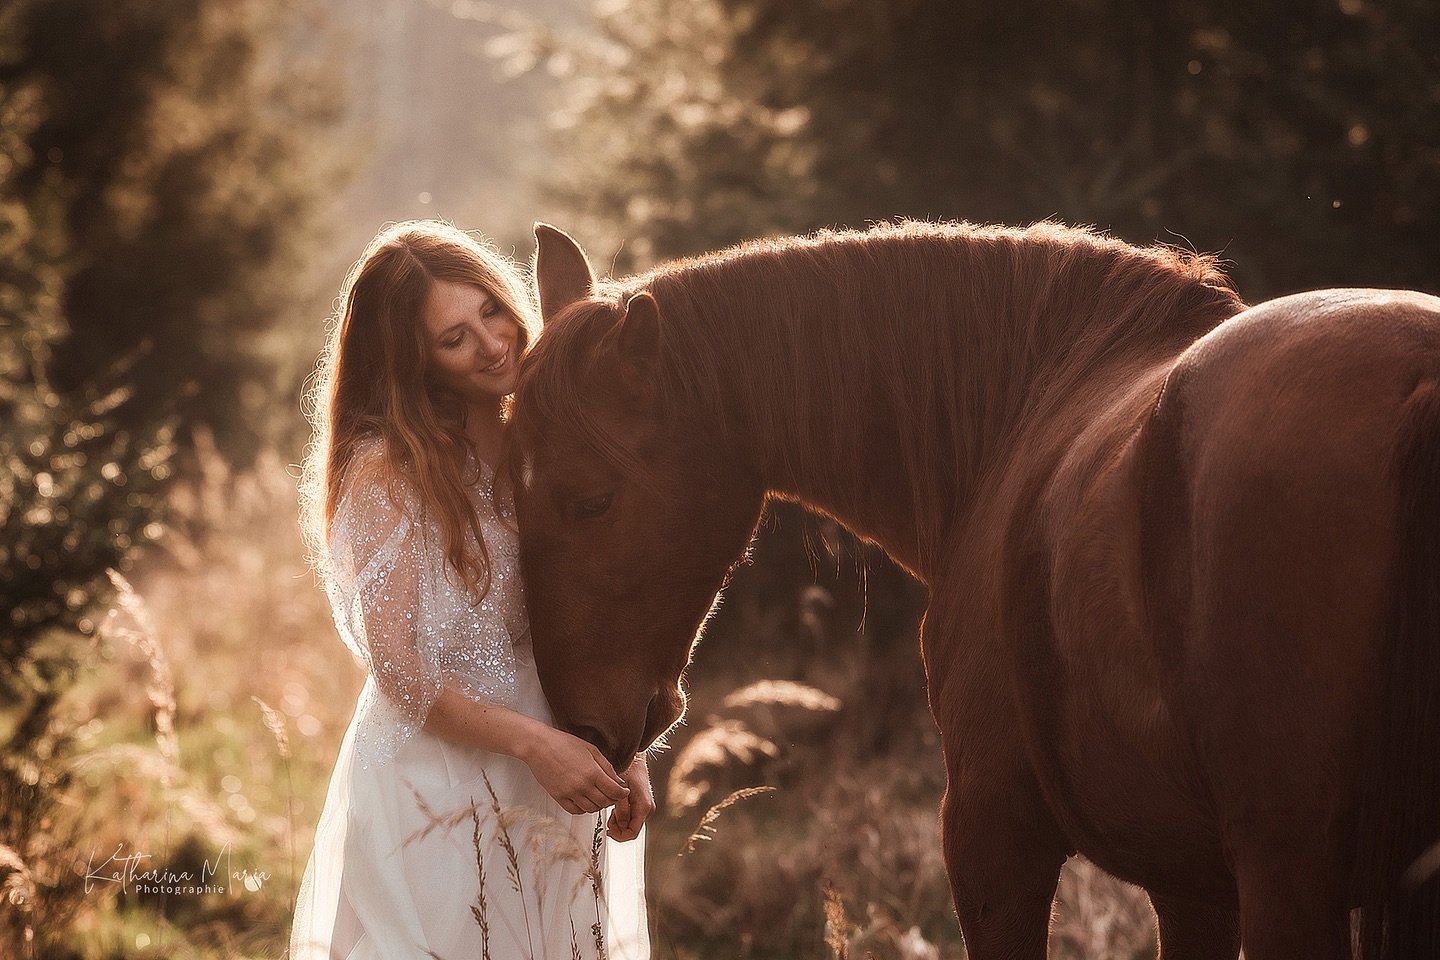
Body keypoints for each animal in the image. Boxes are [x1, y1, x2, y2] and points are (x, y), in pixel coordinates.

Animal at [509, 220, 1440, 960]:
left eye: (590, 500)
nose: (581, 728)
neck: (1020, 410)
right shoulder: (1191, 884)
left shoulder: (993, 836)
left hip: (1289, 880)